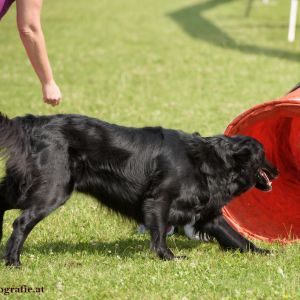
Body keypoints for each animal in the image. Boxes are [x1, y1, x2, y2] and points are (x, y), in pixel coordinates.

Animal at [0, 113, 278, 266]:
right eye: (264, 154)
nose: (277, 170)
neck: (209, 160)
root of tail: (34, 125)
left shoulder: (208, 215)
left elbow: (237, 238)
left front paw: (265, 253)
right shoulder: (158, 200)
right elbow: (160, 234)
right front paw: (169, 257)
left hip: (23, 188)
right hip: (52, 189)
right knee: (21, 222)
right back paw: (13, 261)